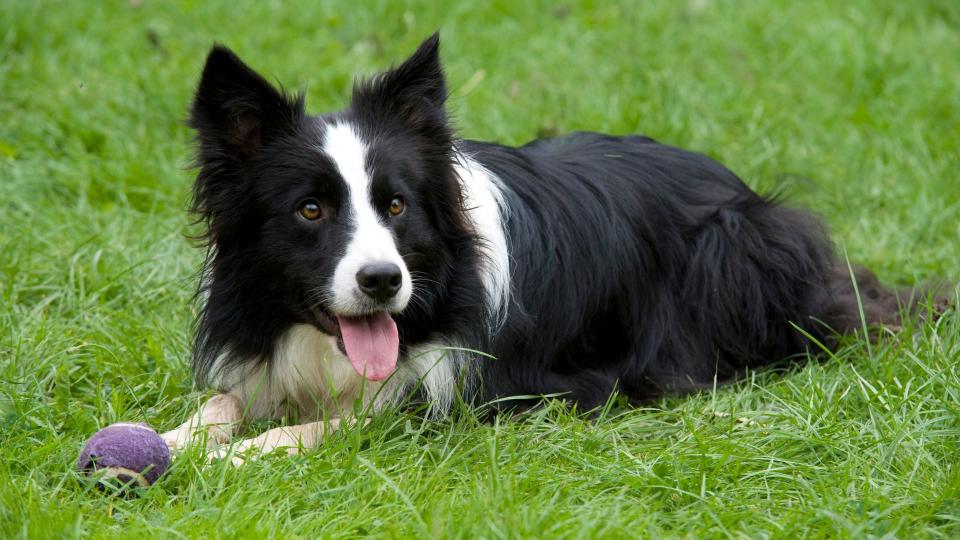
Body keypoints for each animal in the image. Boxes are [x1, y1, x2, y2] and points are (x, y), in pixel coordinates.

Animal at [163, 32, 928, 460]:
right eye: (311, 210)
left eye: (397, 205)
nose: (383, 281)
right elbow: (221, 405)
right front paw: (172, 442)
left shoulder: (455, 391)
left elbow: (341, 422)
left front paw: (235, 459)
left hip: (735, 254)